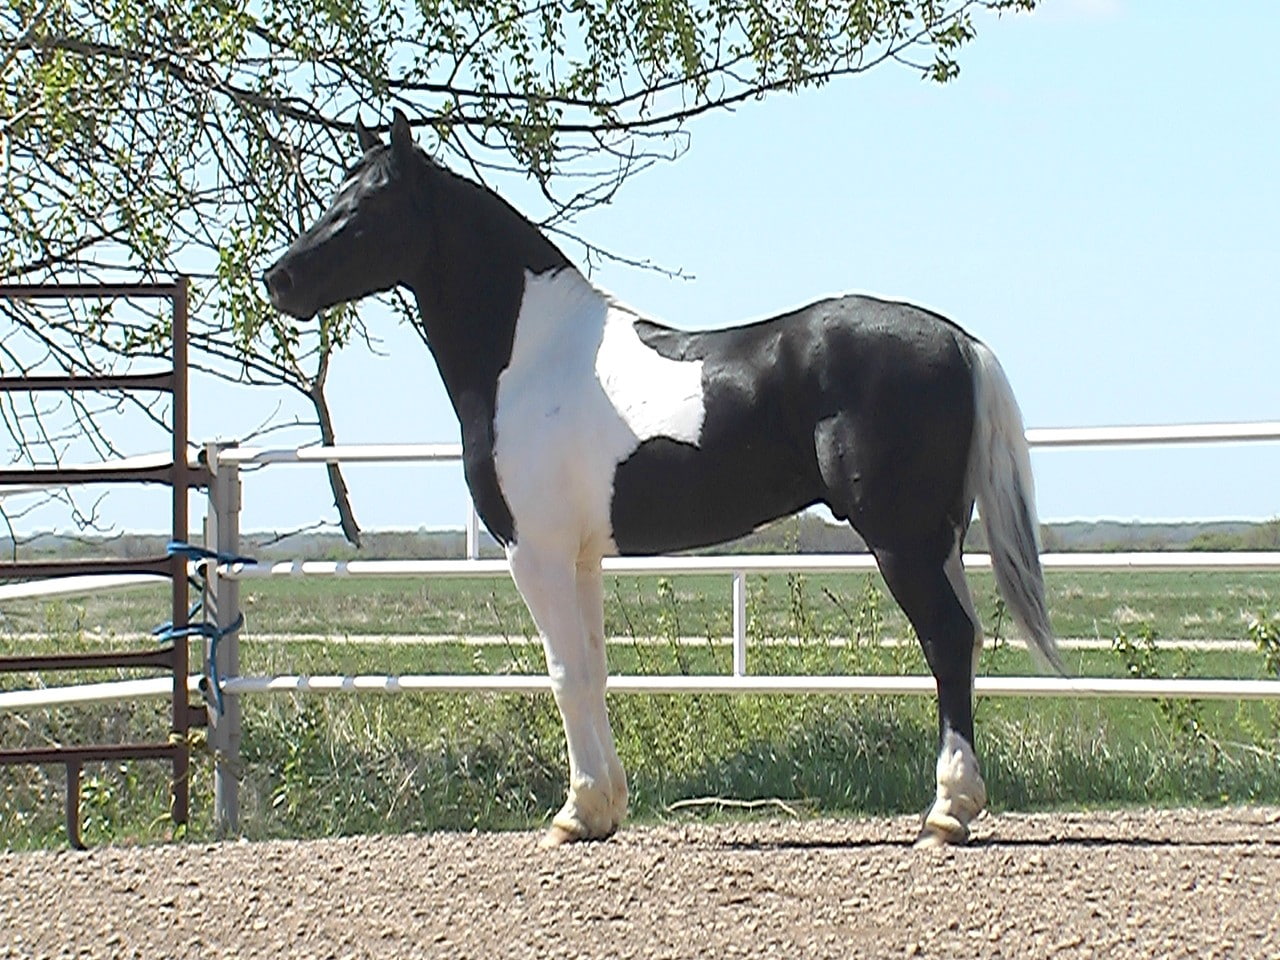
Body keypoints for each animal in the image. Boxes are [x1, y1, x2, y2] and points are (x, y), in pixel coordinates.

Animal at [264, 109, 1062, 848]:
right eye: (337, 195)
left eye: (370, 205)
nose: (281, 280)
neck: (533, 356)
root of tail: (958, 340)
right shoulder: (580, 557)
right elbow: (592, 670)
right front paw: (601, 811)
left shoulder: (535, 551)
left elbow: (564, 674)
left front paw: (574, 814)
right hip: (940, 538)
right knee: (963, 642)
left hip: (900, 539)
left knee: (946, 641)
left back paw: (947, 814)